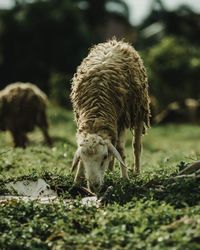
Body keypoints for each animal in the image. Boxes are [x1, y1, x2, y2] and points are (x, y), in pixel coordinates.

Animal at [70, 38, 150, 191]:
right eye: (83, 158)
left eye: (104, 156)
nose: (94, 186)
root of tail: (115, 41)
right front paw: (77, 180)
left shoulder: (122, 119)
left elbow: (120, 150)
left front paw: (125, 178)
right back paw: (111, 170)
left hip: (138, 110)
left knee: (136, 146)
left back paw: (136, 172)